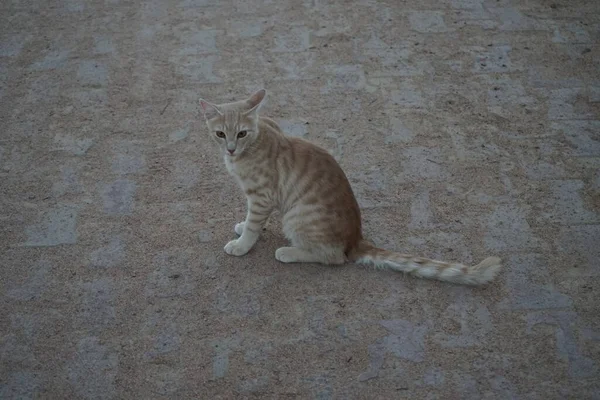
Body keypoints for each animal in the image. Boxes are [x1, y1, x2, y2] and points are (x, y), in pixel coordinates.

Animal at [199, 89, 500, 286]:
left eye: (241, 133)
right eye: (220, 134)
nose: (230, 148)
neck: (254, 143)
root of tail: (356, 239)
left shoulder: (262, 196)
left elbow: (254, 224)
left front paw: (242, 244)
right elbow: (252, 221)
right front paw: (245, 228)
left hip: (297, 217)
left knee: (333, 257)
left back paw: (289, 252)